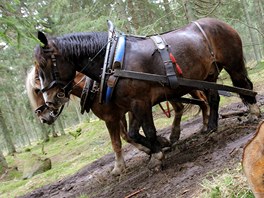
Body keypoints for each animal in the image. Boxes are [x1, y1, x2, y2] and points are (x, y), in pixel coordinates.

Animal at [26, 68, 208, 175]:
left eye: (37, 90)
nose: (43, 117)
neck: (94, 85)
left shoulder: (116, 115)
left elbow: (117, 141)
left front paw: (119, 167)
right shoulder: (119, 114)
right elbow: (128, 136)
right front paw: (154, 146)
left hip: (185, 87)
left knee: (201, 99)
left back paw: (204, 123)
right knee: (185, 105)